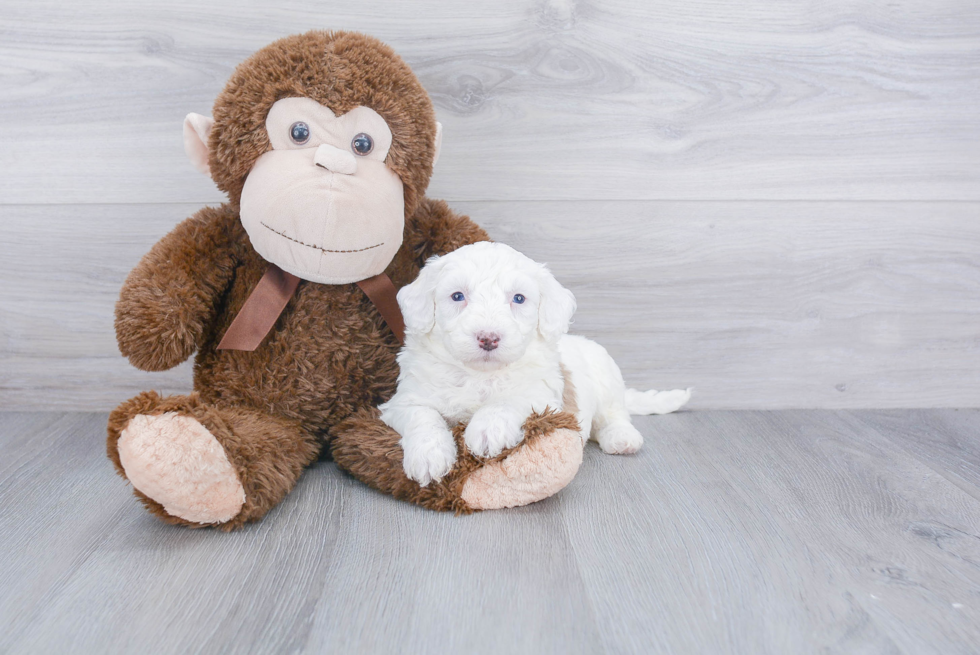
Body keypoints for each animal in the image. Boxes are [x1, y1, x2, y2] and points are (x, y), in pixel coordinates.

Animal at [378, 242, 692, 486]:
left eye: (518, 298)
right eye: (457, 296)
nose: (488, 338)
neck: (479, 374)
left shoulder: (544, 396)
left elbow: (509, 400)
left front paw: (487, 429)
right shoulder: (404, 400)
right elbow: (422, 416)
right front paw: (429, 456)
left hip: (607, 375)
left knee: (614, 415)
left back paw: (621, 437)